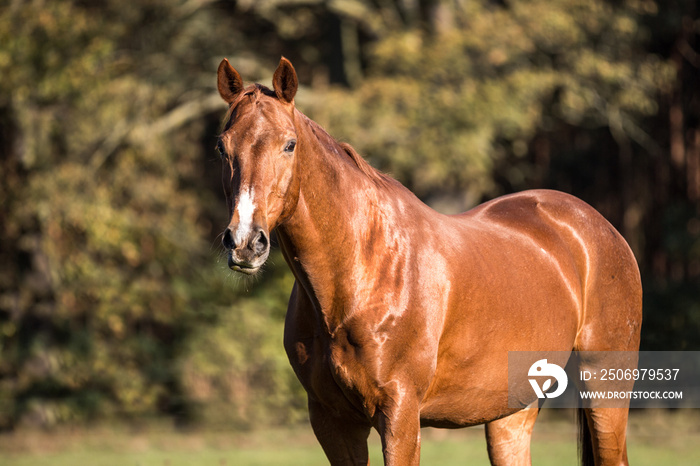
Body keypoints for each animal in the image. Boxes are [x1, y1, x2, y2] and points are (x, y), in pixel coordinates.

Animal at [213, 56, 640, 464]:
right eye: (222, 147)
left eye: (289, 144)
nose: (245, 242)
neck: (362, 272)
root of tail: (596, 226)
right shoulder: (332, 421)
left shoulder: (400, 413)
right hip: (511, 410)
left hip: (605, 389)